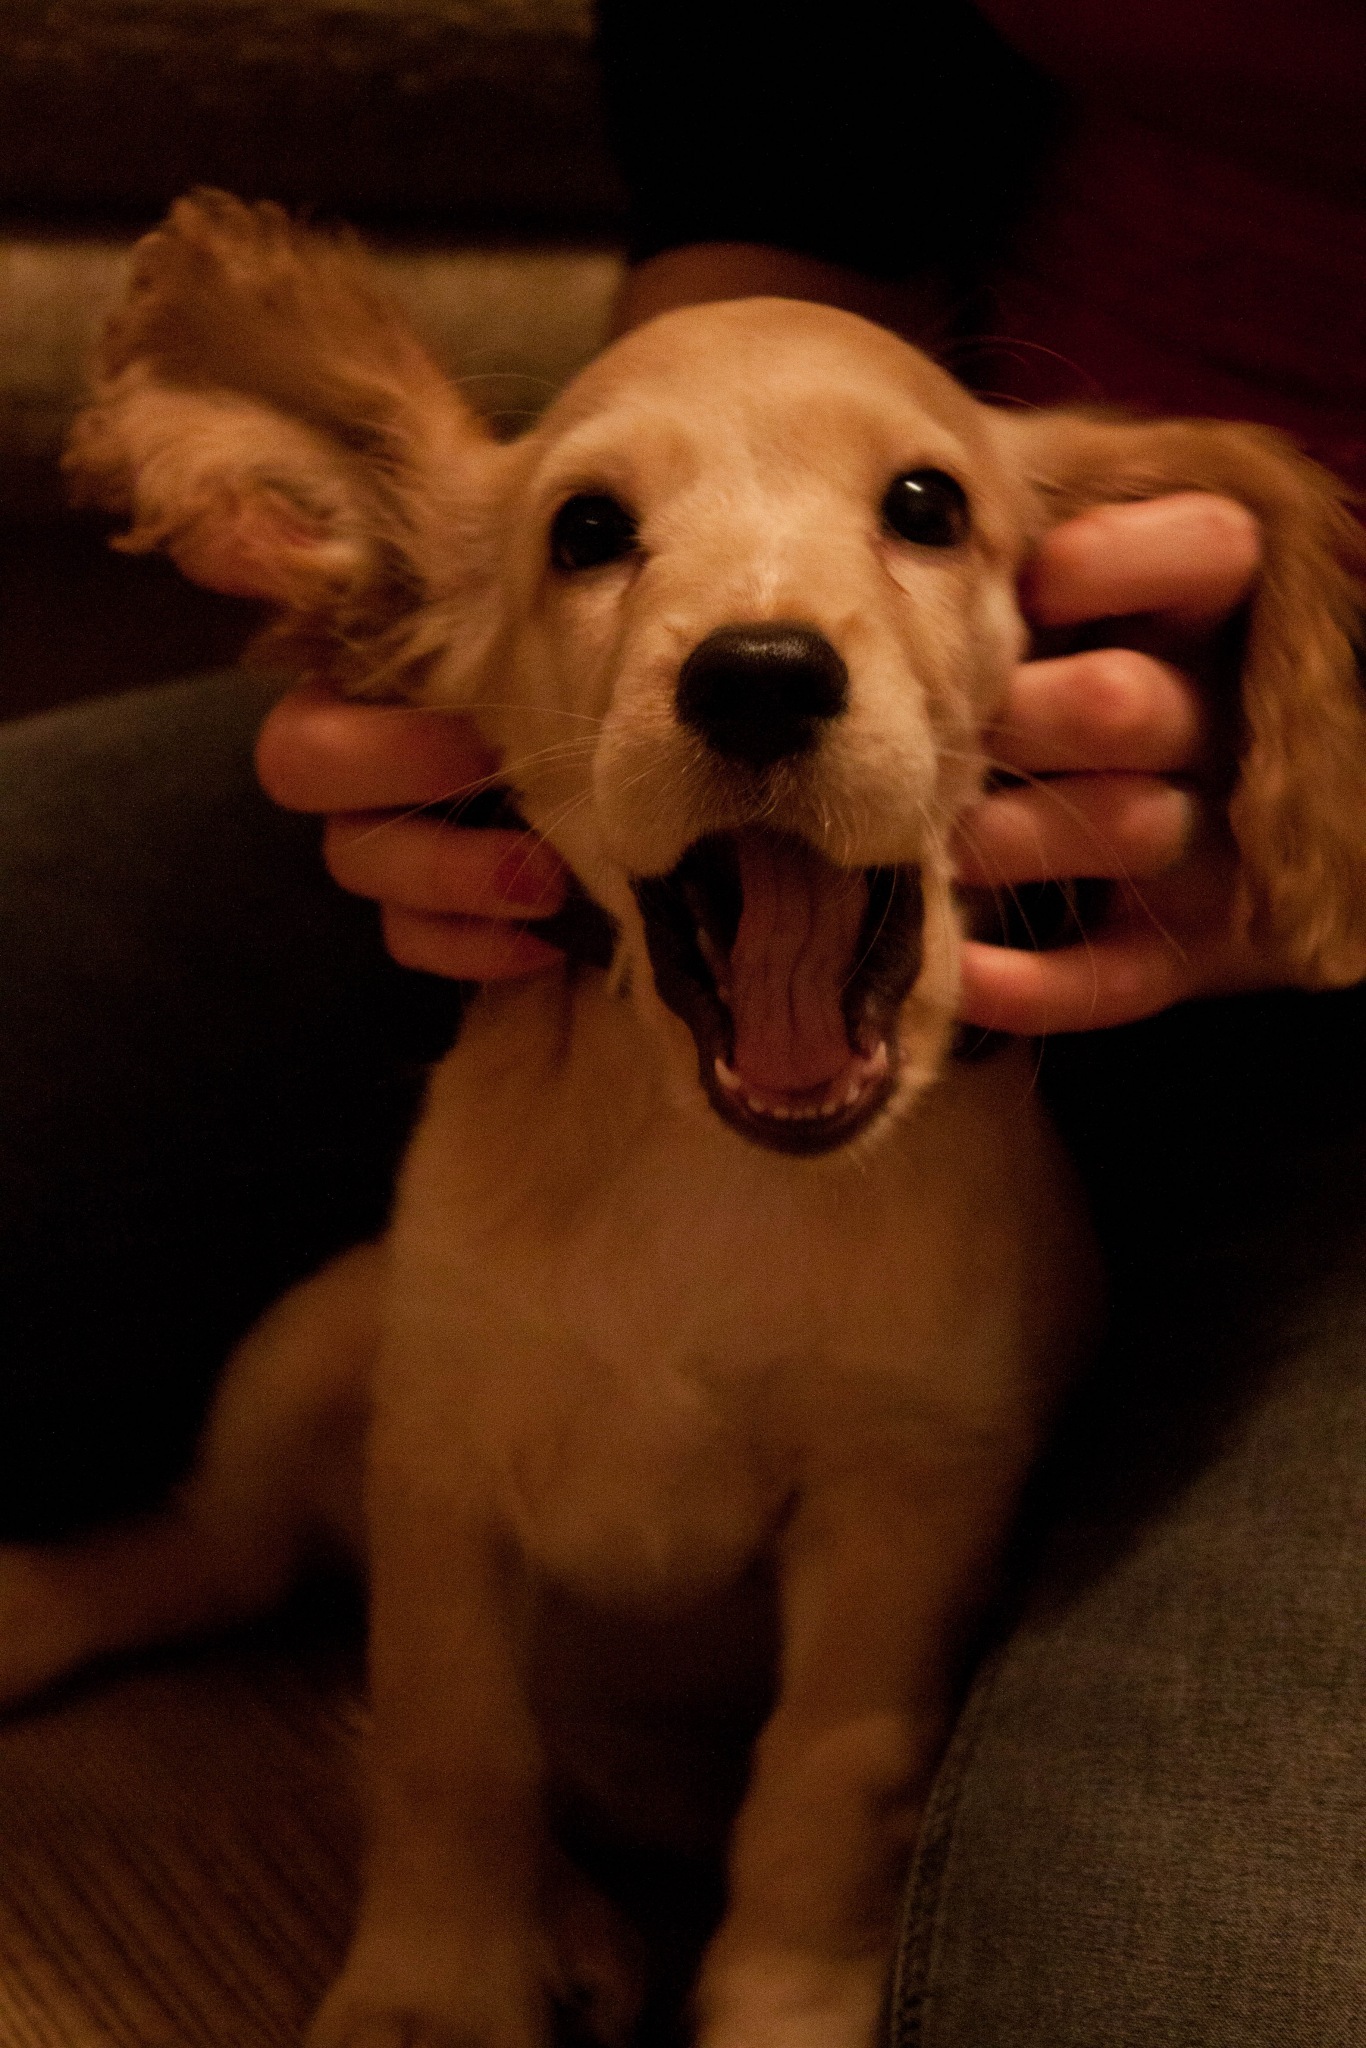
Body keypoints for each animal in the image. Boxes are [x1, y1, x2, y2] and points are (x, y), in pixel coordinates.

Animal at [3, 191, 1366, 2048]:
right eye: (588, 531)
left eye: (926, 506)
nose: (762, 676)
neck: (707, 1179)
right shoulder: (439, 1452)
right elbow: (443, 1736)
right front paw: (436, 1985)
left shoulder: (904, 1502)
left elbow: (829, 1776)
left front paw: (785, 2003)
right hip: (316, 1335)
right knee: (214, 1554)